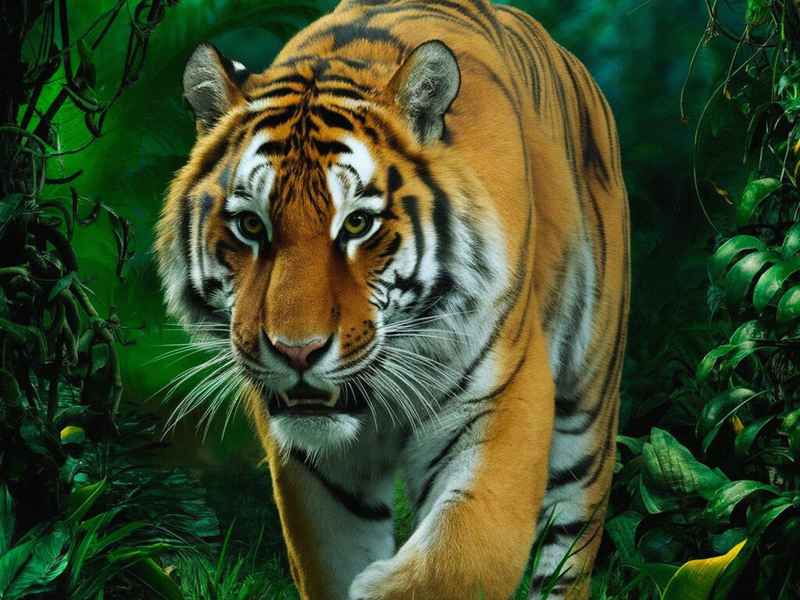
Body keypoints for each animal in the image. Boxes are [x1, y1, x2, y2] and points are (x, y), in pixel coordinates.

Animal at [155, 1, 629, 598]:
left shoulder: (505, 395)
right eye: (250, 226)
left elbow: (462, 557)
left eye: (358, 223)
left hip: (586, 418)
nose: (296, 352)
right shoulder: (317, 468)